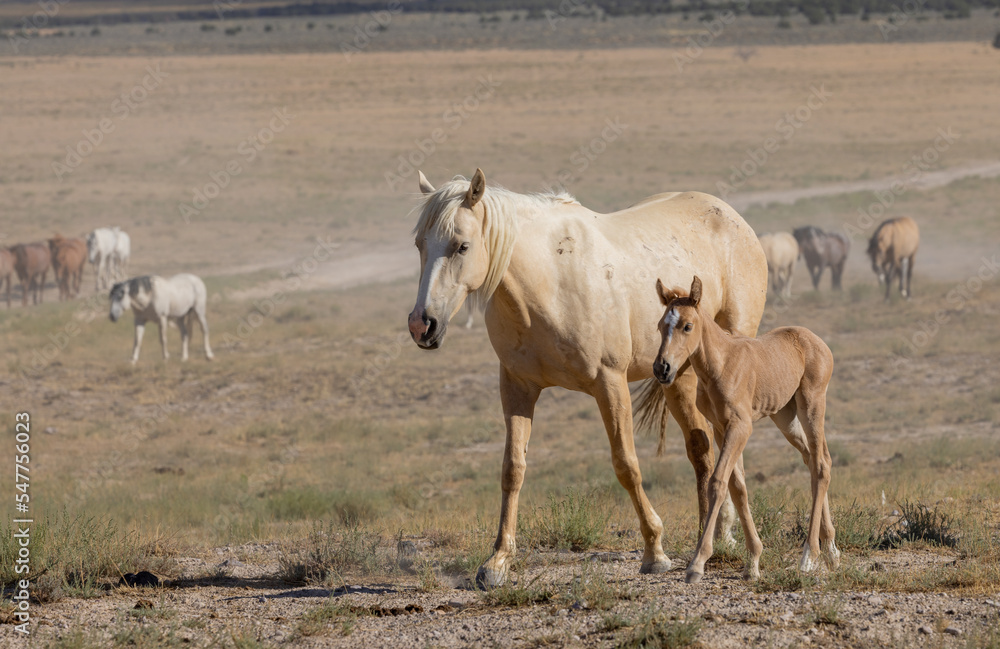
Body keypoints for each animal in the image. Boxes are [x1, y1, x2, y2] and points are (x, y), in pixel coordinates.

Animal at [406, 168, 764, 588]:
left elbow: (626, 464)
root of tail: (733, 218)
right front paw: (497, 562)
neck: (550, 280)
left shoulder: (609, 383)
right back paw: (716, 536)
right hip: (680, 377)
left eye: (461, 246)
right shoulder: (516, 387)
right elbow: (513, 469)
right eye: (420, 244)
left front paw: (655, 551)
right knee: (702, 448)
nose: (422, 325)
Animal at [652, 274, 840, 584]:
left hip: (812, 404)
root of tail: (817, 341)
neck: (719, 364)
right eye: (659, 326)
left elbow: (718, 482)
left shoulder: (741, 427)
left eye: (687, 326)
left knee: (822, 463)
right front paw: (753, 561)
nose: (662, 369)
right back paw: (832, 551)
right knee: (813, 461)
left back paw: (809, 556)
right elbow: (738, 487)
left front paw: (697, 563)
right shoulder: (720, 428)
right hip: (786, 418)